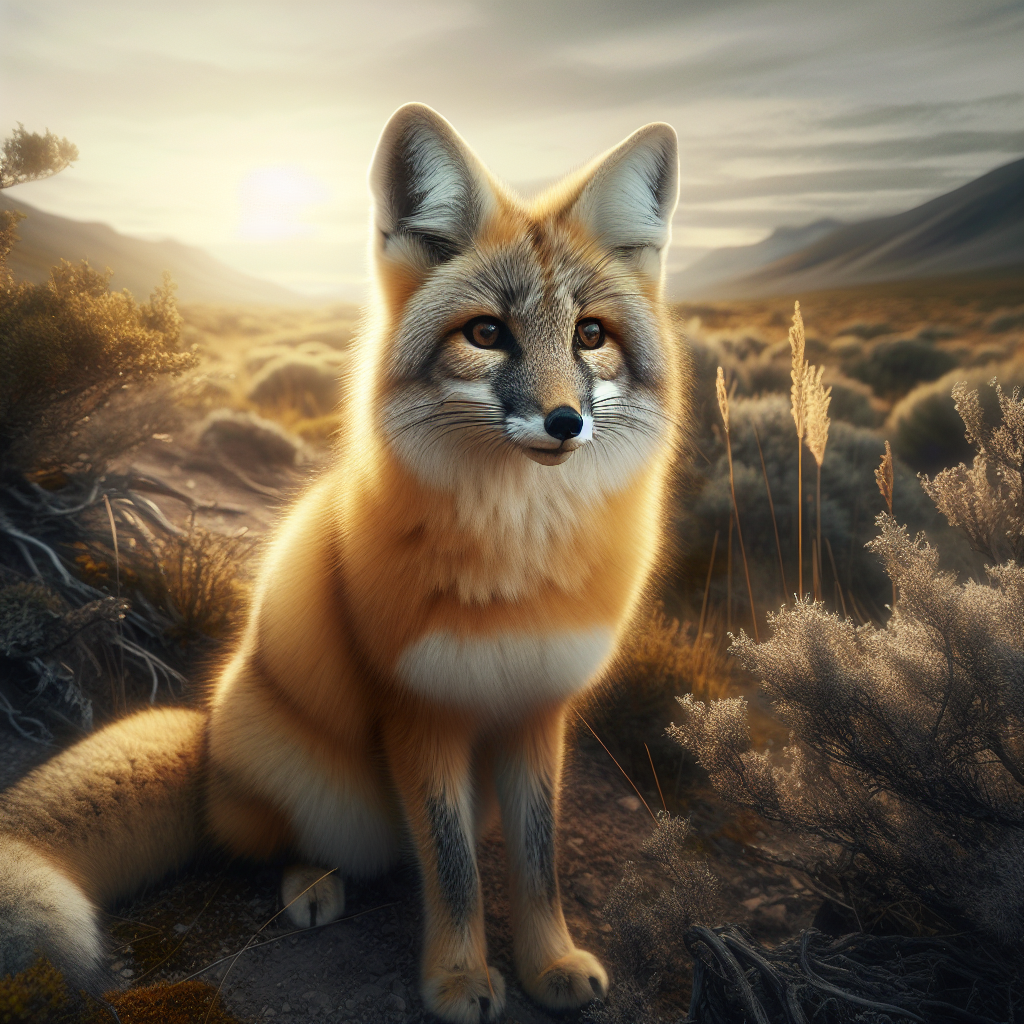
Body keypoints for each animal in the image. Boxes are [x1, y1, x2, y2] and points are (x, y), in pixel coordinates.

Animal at [0, 103, 685, 1023]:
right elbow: (454, 871)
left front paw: (550, 964)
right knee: (276, 844)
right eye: (486, 334)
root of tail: (206, 737)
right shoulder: (420, 712)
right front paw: (457, 979)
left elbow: (535, 863)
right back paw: (311, 885)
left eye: (591, 337)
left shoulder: (538, 710)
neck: (518, 562)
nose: (564, 421)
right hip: (319, 787)